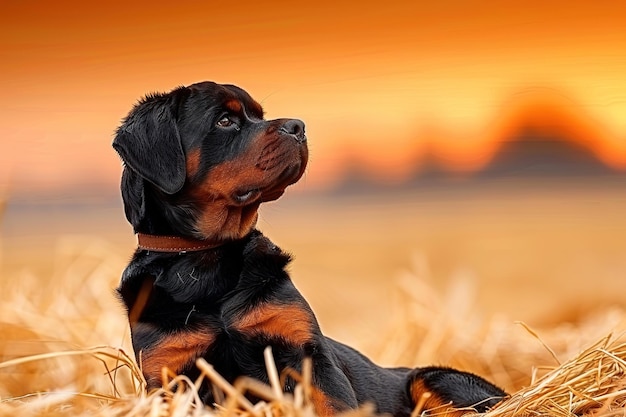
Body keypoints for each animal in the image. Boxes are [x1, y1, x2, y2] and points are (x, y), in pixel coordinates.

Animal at [111, 79, 502, 414]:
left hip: (433, 377)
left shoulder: (306, 353)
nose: (298, 126)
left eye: (260, 116)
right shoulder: (171, 377)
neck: (206, 258)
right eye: (225, 121)